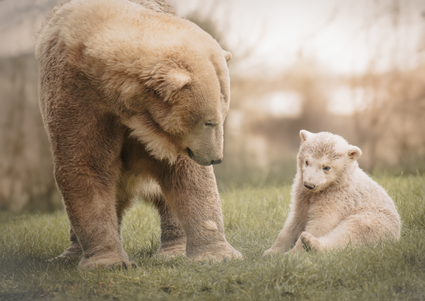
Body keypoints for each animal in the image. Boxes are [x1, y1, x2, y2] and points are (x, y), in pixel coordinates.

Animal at [35, 0, 242, 268]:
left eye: (220, 118)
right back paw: (69, 254)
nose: (216, 159)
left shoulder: (161, 133)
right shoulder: (75, 92)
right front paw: (109, 263)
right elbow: (87, 164)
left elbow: (185, 173)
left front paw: (218, 254)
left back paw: (174, 249)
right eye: (210, 122)